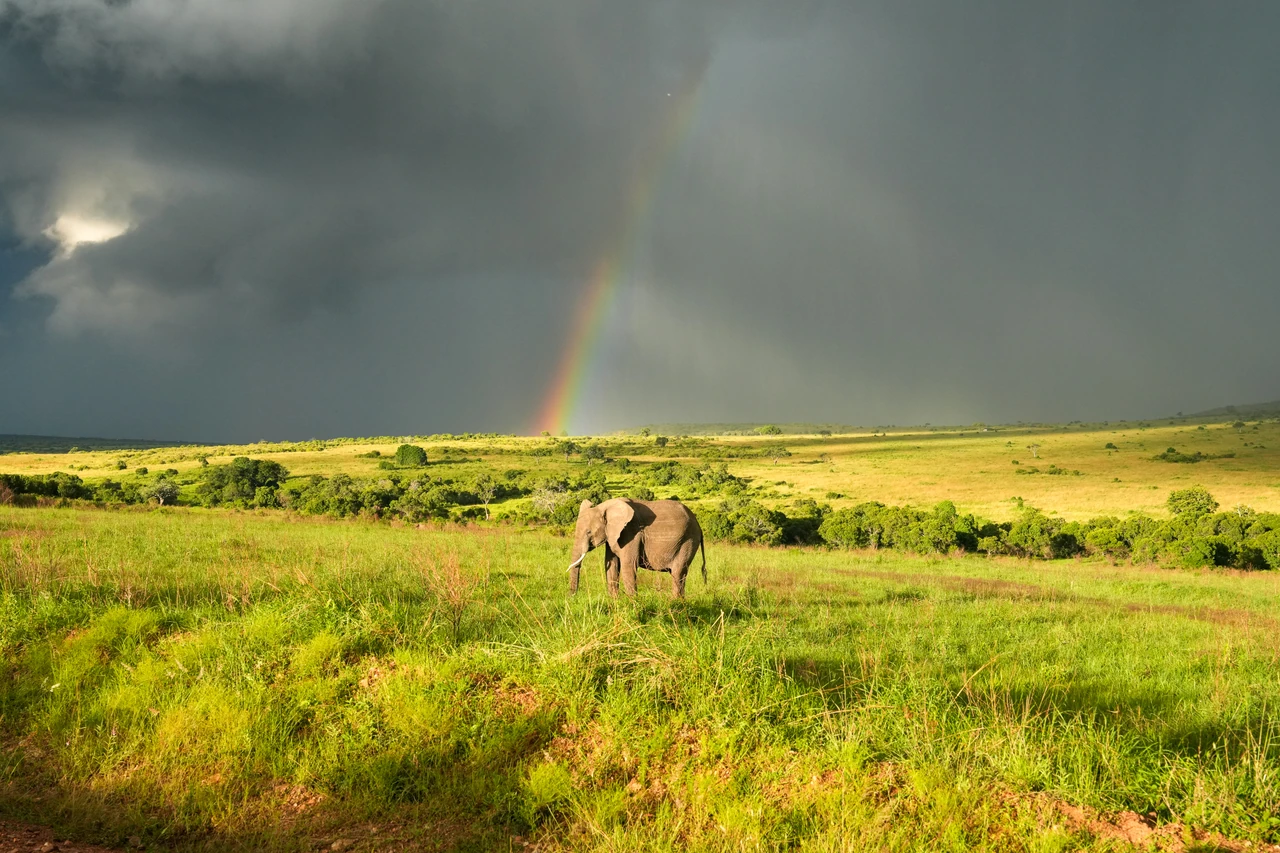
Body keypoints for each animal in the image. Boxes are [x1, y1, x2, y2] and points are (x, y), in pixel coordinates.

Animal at [567, 498, 706, 598]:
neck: (605, 506)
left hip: (688, 541)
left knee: (678, 573)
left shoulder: (631, 533)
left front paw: (633, 604)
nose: (572, 597)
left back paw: (676, 603)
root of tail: (699, 525)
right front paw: (614, 602)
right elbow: (612, 566)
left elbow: (628, 565)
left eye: (589, 532)